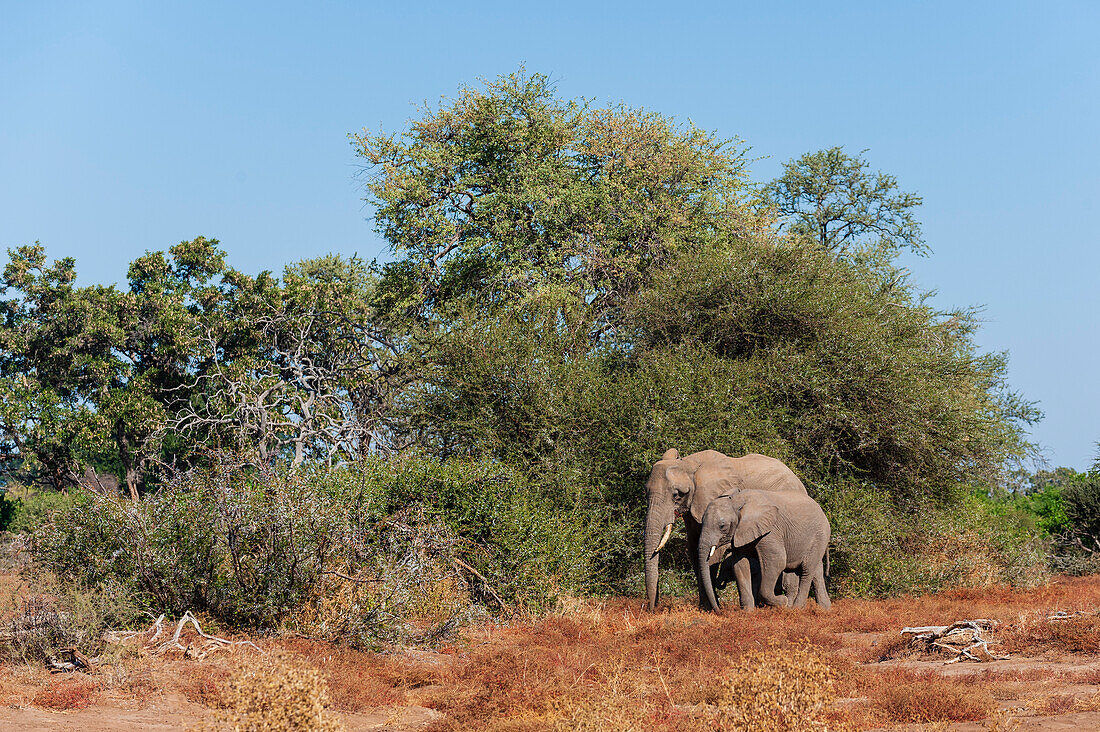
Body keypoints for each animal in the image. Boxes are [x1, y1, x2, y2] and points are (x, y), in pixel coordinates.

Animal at [642, 444, 809, 612]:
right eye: (646, 492)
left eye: (676, 495)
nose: (652, 609)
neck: (690, 464)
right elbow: (695, 550)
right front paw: (704, 608)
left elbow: (712, 554)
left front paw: (710, 609)